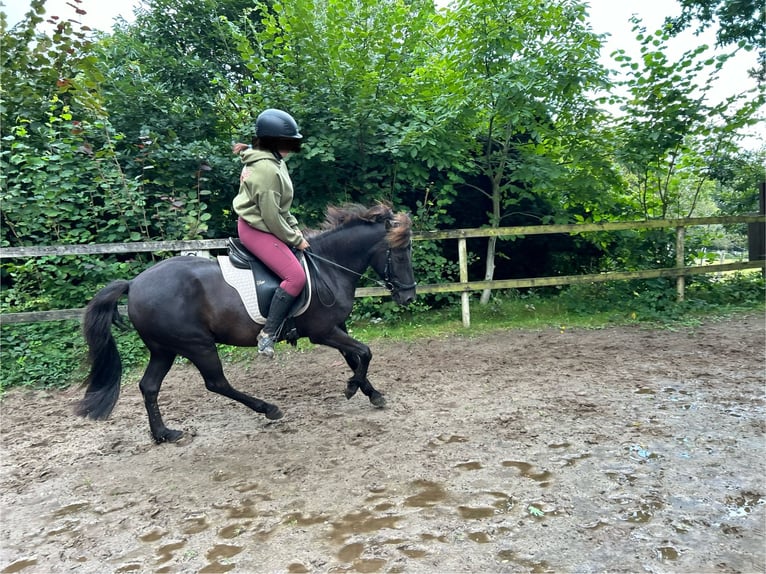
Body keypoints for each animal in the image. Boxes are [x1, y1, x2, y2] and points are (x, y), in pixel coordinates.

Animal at [75, 204, 416, 446]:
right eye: (400, 253)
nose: (408, 296)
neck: (327, 268)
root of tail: (134, 283)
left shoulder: (337, 328)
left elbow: (355, 358)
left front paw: (369, 392)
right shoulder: (323, 332)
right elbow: (365, 352)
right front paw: (353, 388)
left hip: (164, 349)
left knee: (149, 386)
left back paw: (164, 434)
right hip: (197, 344)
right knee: (216, 383)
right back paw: (268, 409)